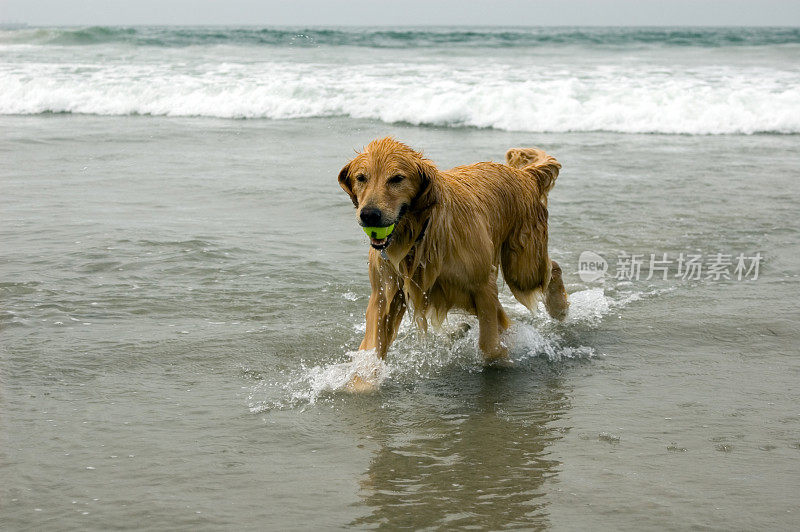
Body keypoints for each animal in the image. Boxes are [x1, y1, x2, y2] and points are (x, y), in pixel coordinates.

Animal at [338, 137, 568, 386]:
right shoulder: (384, 293)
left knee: (551, 269)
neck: (421, 231)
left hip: (521, 266)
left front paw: (502, 357)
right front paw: (361, 381)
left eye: (397, 178)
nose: (369, 214)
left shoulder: (482, 284)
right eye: (361, 178)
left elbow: (490, 347)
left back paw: (559, 308)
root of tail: (525, 175)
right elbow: (371, 351)